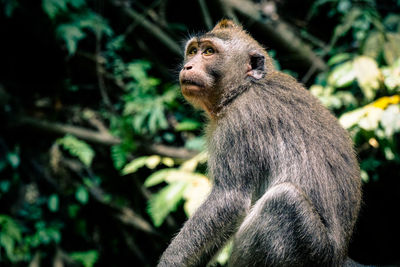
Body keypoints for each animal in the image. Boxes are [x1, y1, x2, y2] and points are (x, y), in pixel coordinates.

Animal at [157, 19, 362, 267]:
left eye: (208, 52)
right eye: (192, 51)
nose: (187, 67)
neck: (244, 88)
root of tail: (338, 256)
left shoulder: (239, 124)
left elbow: (229, 200)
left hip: (312, 250)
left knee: (284, 200)